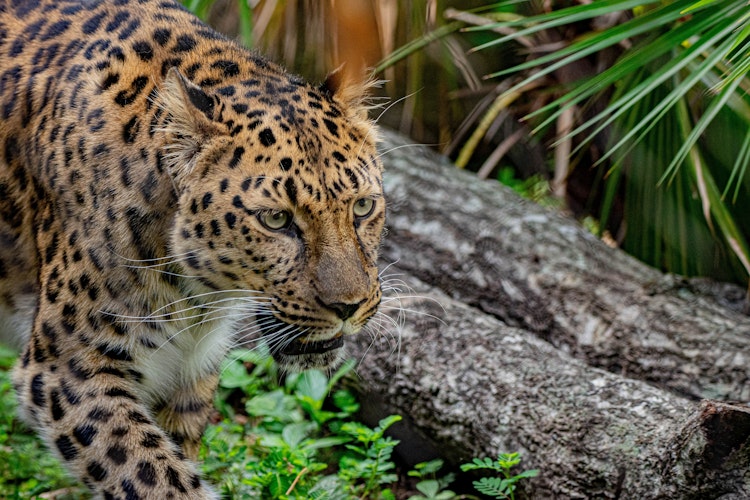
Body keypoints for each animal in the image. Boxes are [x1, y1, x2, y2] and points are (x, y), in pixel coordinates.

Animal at [0, 0, 388, 496]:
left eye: (362, 207)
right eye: (276, 220)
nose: (349, 307)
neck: (196, 296)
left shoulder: (189, 373)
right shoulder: (68, 370)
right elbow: (154, 477)